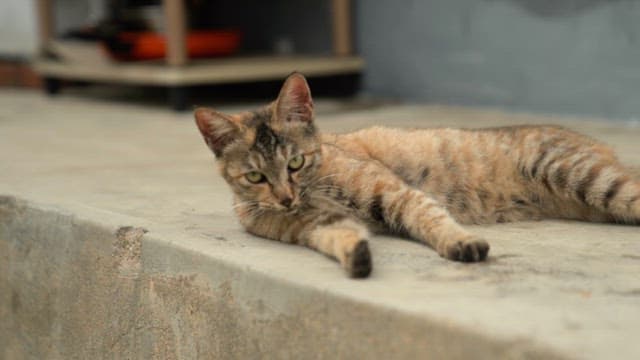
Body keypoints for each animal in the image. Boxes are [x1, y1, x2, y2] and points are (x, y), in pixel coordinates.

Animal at [194, 71, 640, 278]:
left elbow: (430, 218)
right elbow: (340, 236)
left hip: (584, 176)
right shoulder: (315, 223)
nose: (286, 198)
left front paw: (460, 243)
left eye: (295, 163)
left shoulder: (394, 192)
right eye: (255, 177)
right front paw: (357, 257)